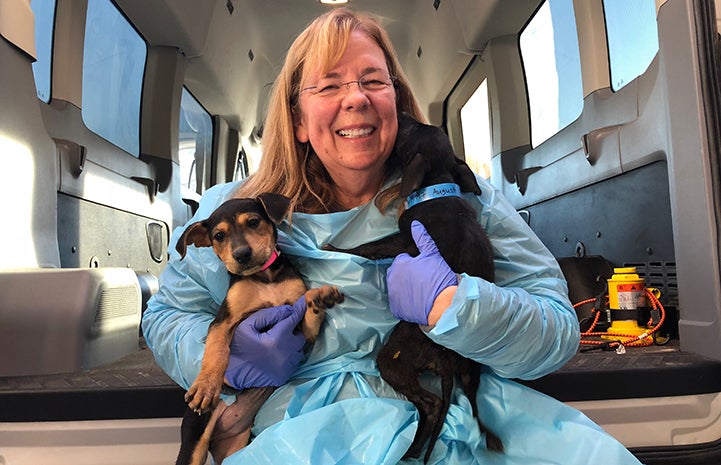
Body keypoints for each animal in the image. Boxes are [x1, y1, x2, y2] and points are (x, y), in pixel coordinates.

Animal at [174, 191, 344, 464]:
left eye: (253, 222)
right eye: (219, 236)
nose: (242, 254)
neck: (265, 278)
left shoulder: (301, 332)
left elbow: (307, 307)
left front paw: (320, 297)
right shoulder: (222, 321)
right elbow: (217, 349)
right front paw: (206, 386)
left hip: (236, 446)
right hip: (195, 438)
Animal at [326, 113, 500, 460]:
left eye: (410, 130)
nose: (402, 115)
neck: (435, 188)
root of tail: (447, 362)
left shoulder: (404, 240)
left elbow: (369, 247)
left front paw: (336, 248)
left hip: (391, 358)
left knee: (431, 404)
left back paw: (409, 451)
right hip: (471, 370)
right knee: (470, 406)